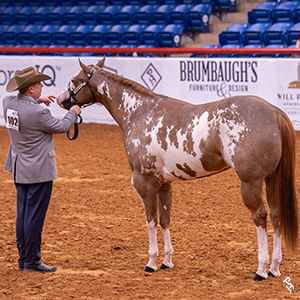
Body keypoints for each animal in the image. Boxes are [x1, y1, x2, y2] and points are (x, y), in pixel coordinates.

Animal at [55, 57, 298, 280]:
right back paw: (274, 268)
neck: (139, 113)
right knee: (275, 215)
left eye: (74, 80)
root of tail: (274, 111)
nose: (60, 99)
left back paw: (261, 269)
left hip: (251, 182)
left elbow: (151, 221)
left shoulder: (145, 183)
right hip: (272, 179)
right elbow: (165, 219)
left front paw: (151, 262)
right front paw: (167, 261)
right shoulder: (164, 184)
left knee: (260, 217)